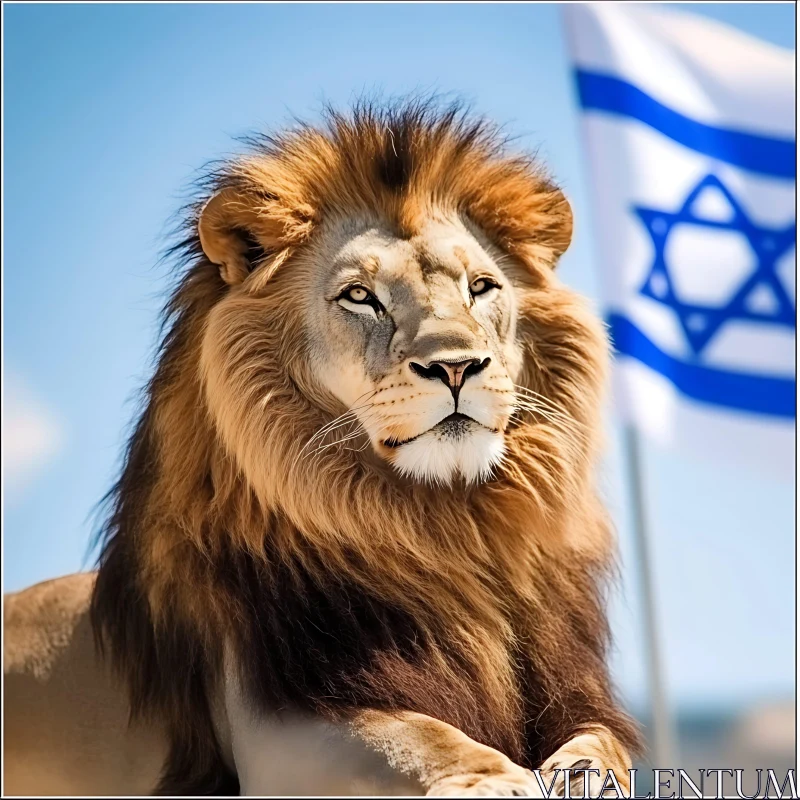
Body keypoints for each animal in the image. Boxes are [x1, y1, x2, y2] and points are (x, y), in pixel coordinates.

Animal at [4, 98, 640, 796]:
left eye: (480, 288)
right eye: (360, 296)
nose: (456, 366)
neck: (450, 532)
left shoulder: (573, 691)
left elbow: (603, 745)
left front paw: (580, 774)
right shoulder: (276, 725)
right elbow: (417, 735)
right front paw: (496, 780)